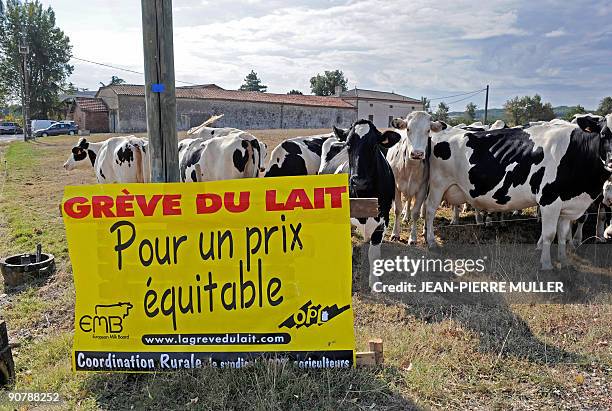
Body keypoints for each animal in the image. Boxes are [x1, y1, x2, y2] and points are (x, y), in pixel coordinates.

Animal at [318, 120, 404, 290]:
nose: (359, 181)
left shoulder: (383, 220)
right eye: (348, 144)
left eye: (374, 145)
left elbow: (374, 254)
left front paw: (375, 282)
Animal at [426, 114, 612, 272]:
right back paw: (431, 241)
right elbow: (549, 234)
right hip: (437, 185)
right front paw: (546, 265)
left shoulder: (567, 205)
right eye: (604, 134)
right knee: (429, 211)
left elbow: (562, 234)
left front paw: (564, 262)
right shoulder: (549, 200)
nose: (611, 162)